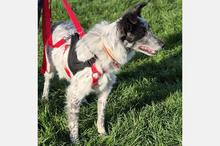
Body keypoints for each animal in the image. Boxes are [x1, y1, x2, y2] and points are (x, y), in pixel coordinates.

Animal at [41, 1, 165, 142]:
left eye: (148, 29)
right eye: (142, 33)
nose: (163, 44)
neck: (102, 52)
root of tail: (57, 23)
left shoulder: (104, 91)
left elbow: (101, 116)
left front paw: (103, 134)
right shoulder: (74, 93)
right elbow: (74, 122)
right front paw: (75, 140)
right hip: (49, 66)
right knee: (47, 81)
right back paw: (44, 98)